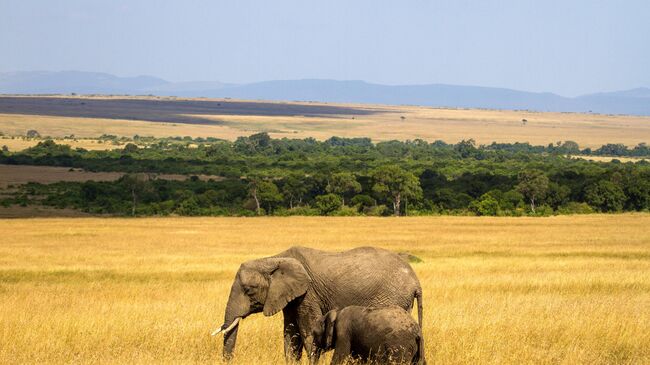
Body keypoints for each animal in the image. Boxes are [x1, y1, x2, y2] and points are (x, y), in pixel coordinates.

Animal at [213, 245, 422, 362]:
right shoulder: (290, 296)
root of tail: (415, 280)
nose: (228, 361)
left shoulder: (308, 294)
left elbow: (307, 331)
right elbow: (291, 333)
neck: (273, 259)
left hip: (393, 297)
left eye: (249, 290)